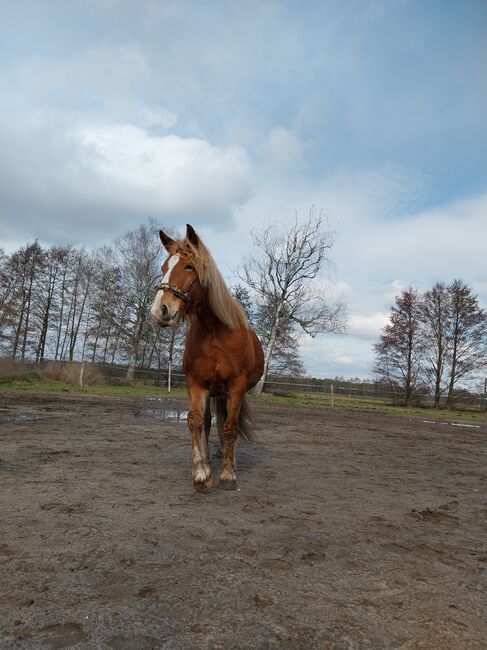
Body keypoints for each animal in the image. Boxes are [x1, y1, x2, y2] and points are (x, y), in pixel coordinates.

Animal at [152, 224, 264, 492]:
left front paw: (228, 474)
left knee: (226, 425)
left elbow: (231, 428)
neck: (215, 333)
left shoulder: (236, 387)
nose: (160, 310)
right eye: (164, 268)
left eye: (189, 266)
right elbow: (196, 423)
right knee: (208, 422)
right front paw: (202, 472)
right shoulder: (196, 385)